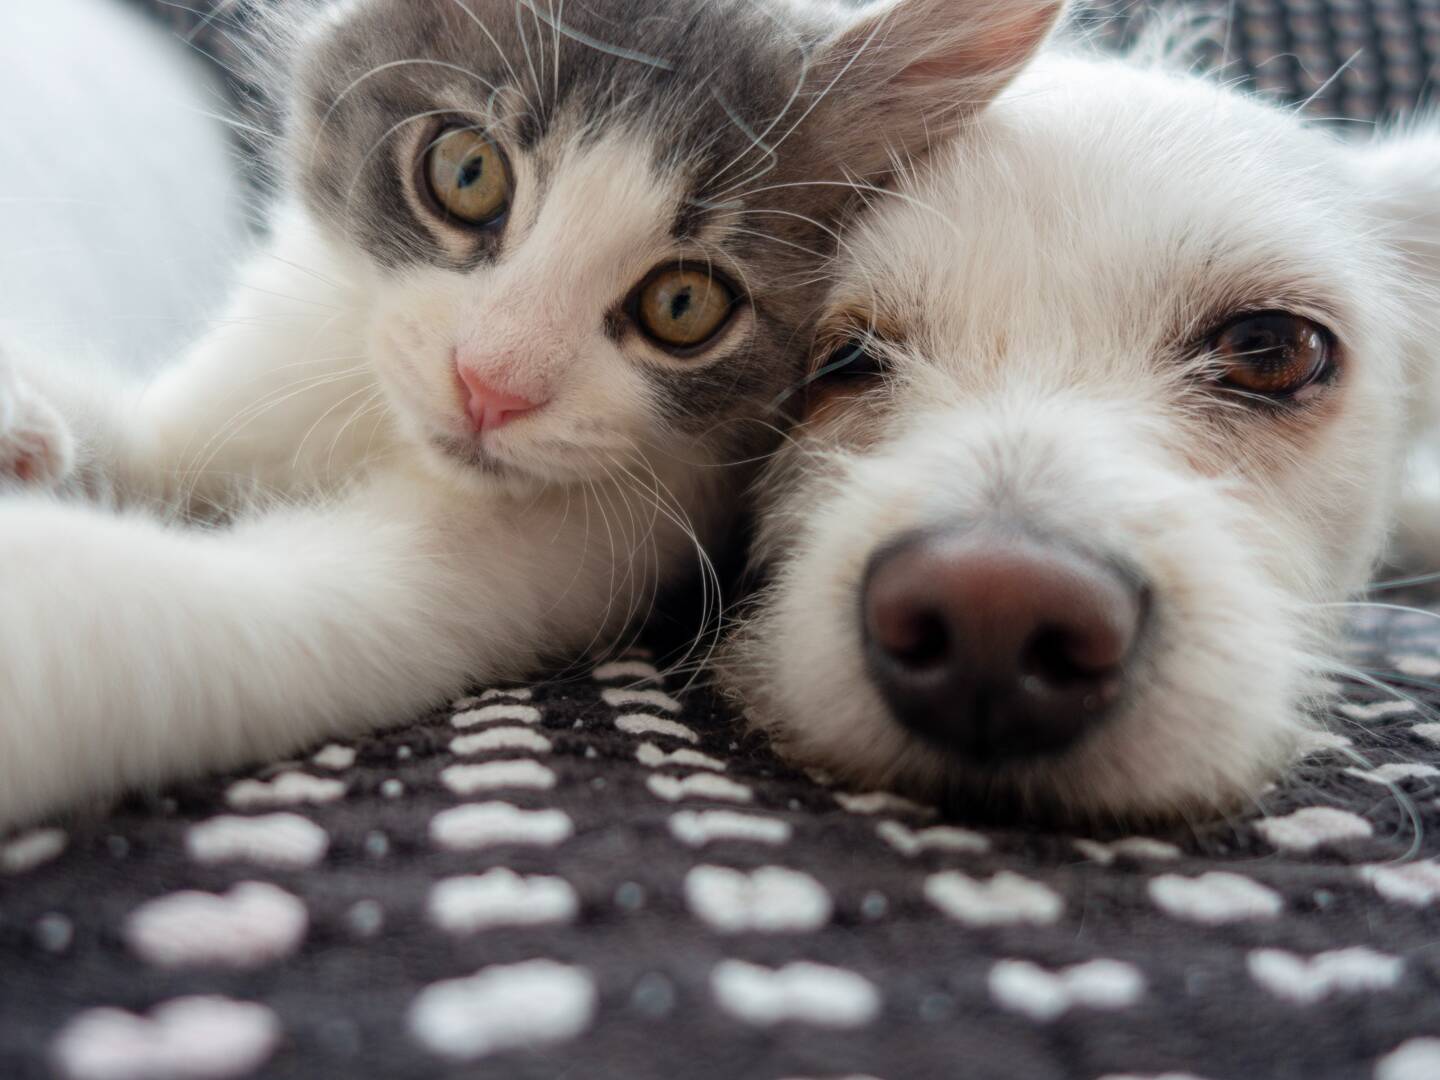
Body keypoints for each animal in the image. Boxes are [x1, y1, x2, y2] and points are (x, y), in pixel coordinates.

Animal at [0, 0, 1065, 829]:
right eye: (468, 173)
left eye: (684, 305)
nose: (491, 384)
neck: (381, 432)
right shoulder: (250, 381)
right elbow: (131, 432)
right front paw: (25, 425)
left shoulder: (516, 570)